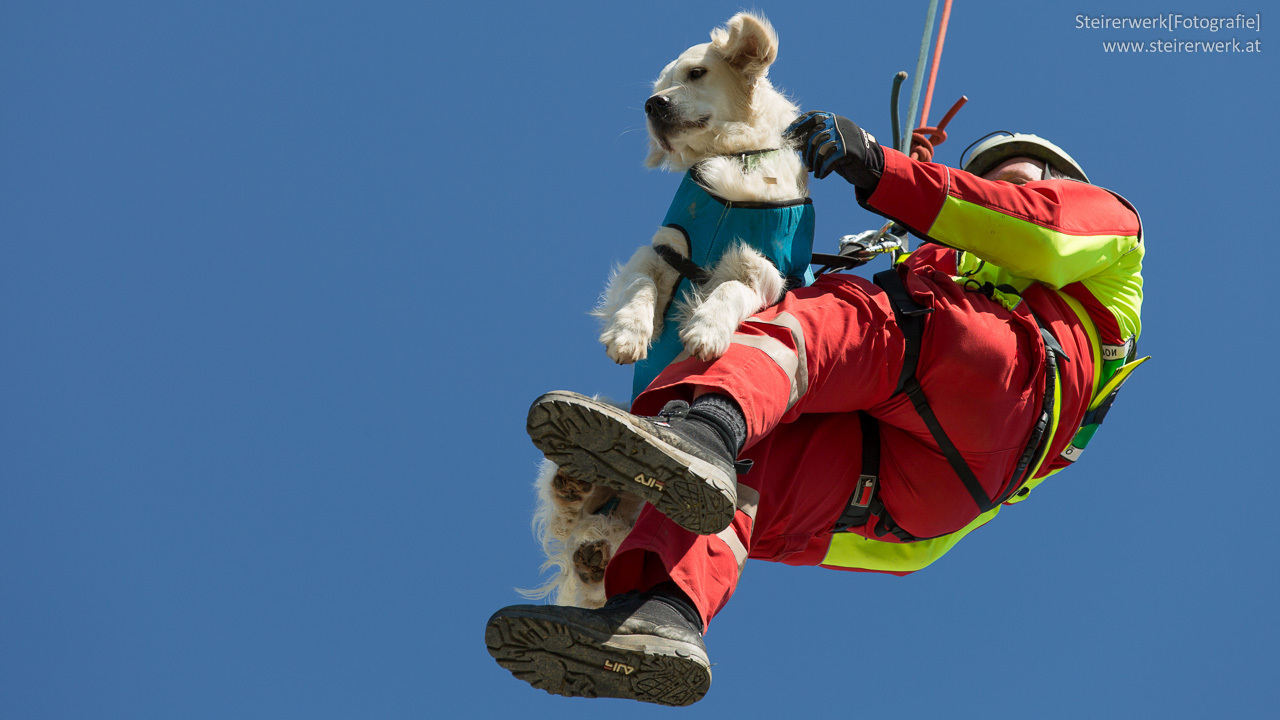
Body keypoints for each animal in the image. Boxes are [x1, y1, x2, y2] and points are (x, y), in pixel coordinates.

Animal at [522, 11, 808, 604]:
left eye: (697, 72)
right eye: (658, 85)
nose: (653, 105)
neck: (733, 161)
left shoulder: (764, 270)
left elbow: (727, 292)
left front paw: (705, 330)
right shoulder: (660, 251)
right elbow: (641, 292)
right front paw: (629, 335)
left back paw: (594, 544)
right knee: (573, 517)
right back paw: (574, 489)